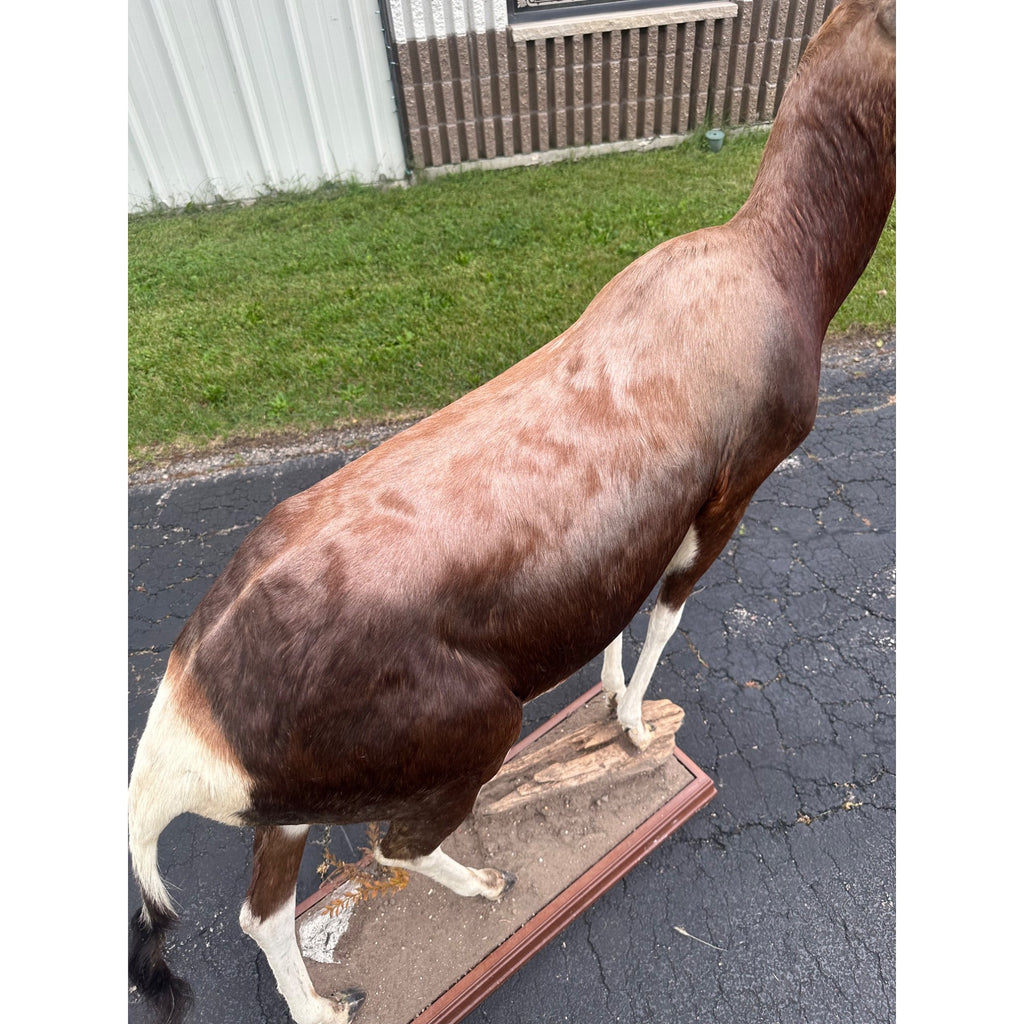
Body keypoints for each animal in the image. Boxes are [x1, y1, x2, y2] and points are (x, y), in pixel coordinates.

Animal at [128, 3, 896, 1021]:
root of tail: (185, 717)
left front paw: (605, 701)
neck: (765, 265)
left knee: (264, 911)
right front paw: (634, 725)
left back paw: (327, 1002)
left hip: (288, 816)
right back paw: (489, 884)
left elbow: (620, 615)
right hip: (470, 740)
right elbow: (669, 614)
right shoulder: (733, 495)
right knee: (389, 848)